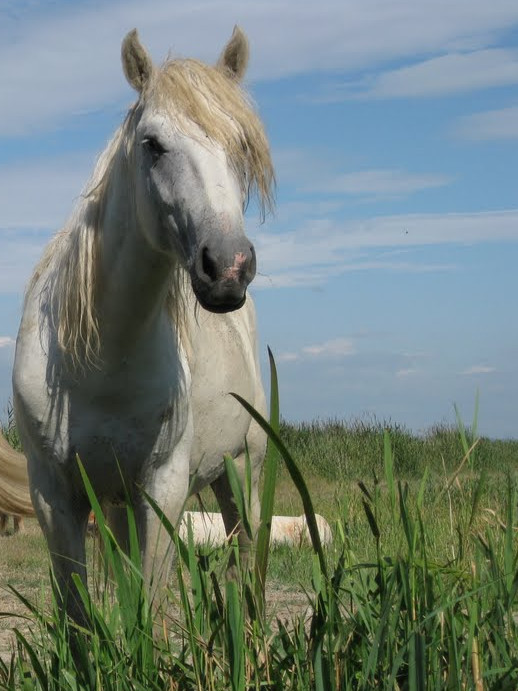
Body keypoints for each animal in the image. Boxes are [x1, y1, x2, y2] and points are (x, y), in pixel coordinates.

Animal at [11, 27, 276, 624]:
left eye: (243, 146)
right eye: (152, 144)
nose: (228, 267)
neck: (102, 359)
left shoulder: (161, 489)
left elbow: (145, 613)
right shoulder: (56, 496)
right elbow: (79, 617)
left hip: (244, 470)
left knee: (245, 562)